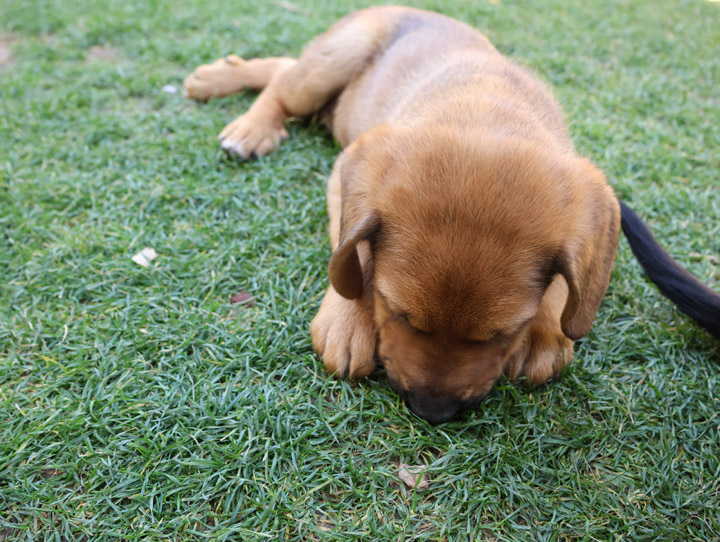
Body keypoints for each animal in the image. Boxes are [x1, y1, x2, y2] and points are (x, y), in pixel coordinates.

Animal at [184, 7, 716, 424]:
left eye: (502, 335)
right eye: (400, 314)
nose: (431, 412)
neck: (486, 111)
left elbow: (569, 279)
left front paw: (546, 330)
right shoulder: (345, 175)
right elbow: (352, 254)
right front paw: (349, 319)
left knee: (283, 67)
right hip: (337, 56)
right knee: (282, 84)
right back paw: (245, 117)